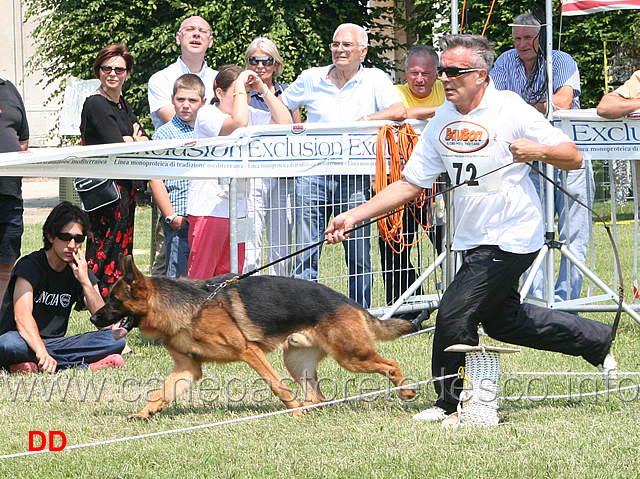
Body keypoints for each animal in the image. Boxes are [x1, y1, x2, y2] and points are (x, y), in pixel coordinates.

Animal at [91, 255, 420, 420]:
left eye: (113, 300)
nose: (93, 318)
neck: (191, 308)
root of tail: (352, 304)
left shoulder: (250, 352)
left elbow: (276, 385)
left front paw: (292, 409)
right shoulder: (188, 368)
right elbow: (162, 391)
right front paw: (145, 412)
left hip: (352, 356)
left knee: (390, 363)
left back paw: (406, 392)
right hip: (298, 362)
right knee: (318, 397)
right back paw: (313, 410)